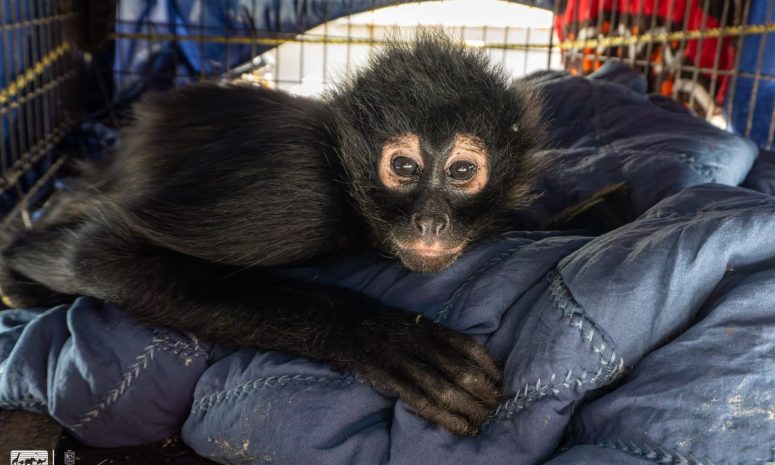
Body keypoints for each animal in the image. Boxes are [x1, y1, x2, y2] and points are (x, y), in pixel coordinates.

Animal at [0, 33, 629, 437]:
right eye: (403, 167)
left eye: (460, 172)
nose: (430, 221)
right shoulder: (298, 190)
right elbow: (101, 252)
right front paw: (384, 339)